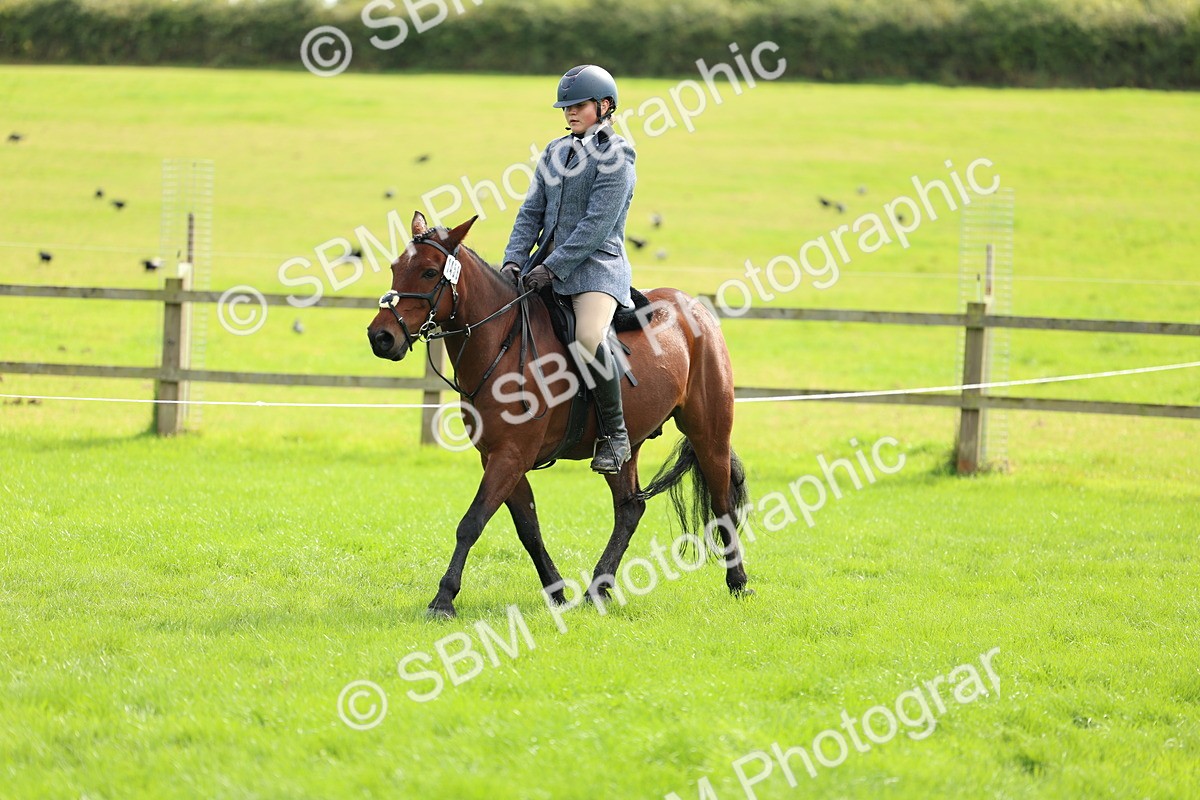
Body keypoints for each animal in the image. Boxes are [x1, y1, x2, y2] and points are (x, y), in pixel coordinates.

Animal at [367, 212, 751, 618]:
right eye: (395, 268)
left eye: (428, 272)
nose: (381, 337)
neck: (502, 342)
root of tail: (695, 307)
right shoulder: (499, 456)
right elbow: (528, 529)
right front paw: (557, 592)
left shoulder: (510, 455)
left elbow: (471, 522)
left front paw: (443, 598)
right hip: (623, 448)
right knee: (629, 509)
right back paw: (597, 589)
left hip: (709, 433)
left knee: (722, 502)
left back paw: (738, 581)